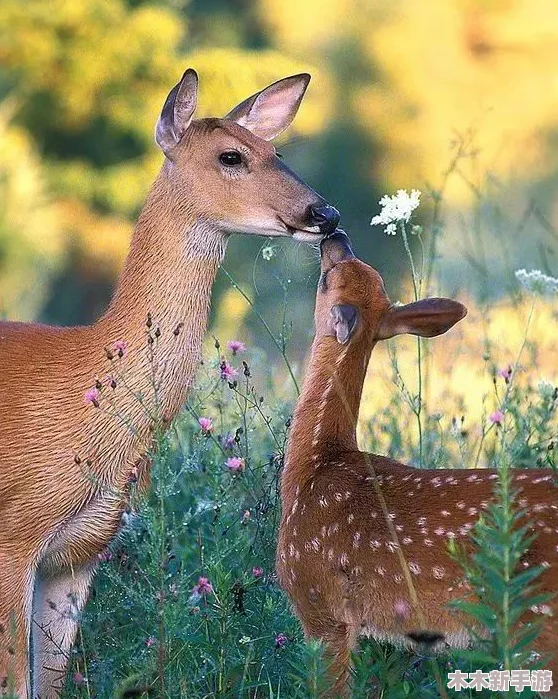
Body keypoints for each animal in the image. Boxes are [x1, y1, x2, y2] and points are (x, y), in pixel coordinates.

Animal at [0, 68, 340, 698]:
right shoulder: (14, 530)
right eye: (231, 156)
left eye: (278, 153)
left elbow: (47, 683)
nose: (323, 213)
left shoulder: (81, 553)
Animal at [277, 229, 558, 697]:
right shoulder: (385, 636)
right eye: (368, 272)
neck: (315, 463)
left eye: (328, 278)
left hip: (539, 620)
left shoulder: (319, 605)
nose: (337, 235)